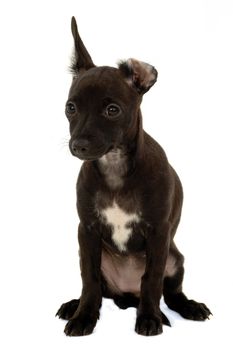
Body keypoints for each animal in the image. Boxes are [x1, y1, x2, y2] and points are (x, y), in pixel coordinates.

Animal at [56, 17, 211, 336]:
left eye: (112, 110)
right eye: (70, 108)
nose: (78, 146)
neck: (114, 166)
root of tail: (126, 294)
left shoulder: (158, 233)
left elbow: (151, 279)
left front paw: (149, 318)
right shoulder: (86, 231)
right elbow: (89, 280)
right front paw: (83, 316)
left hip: (174, 259)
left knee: (170, 293)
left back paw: (187, 308)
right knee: (97, 288)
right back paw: (73, 305)